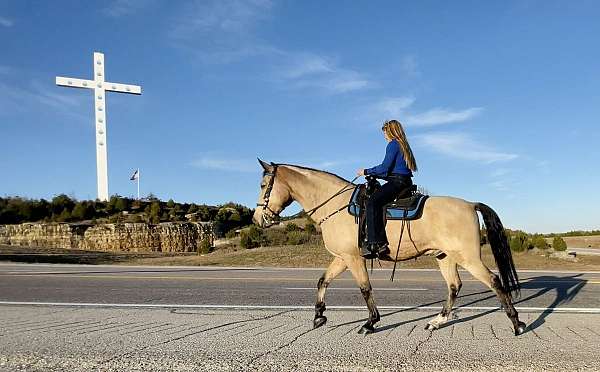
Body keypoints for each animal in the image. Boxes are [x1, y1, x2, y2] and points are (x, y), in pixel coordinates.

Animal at [252, 160, 524, 338]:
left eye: (264, 184)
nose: (257, 219)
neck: (336, 205)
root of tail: (469, 204)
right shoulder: (342, 257)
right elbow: (323, 281)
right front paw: (319, 315)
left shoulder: (353, 258)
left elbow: (364, 288)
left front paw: (370, 323)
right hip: (445, 257)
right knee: (454, 286)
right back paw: (436, 322)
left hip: (468, 257)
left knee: (494, 280)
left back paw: (517, 324)